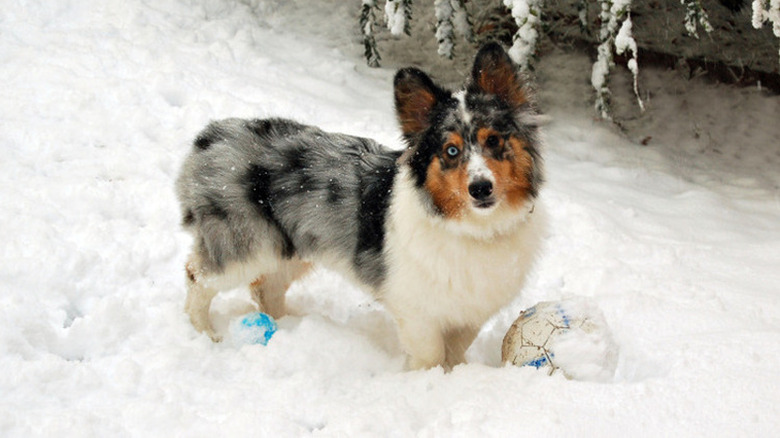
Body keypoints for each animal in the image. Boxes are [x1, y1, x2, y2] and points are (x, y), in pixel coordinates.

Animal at [175, 42, 544, 368]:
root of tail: (208, 138)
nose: (480, 189)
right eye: (451, 151)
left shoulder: (470, 311)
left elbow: (455, 350)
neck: (474, 229)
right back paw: (208, 334)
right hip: (246, 247)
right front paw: (426, 379)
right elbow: (430, 355)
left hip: (290, 249)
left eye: (493, 140)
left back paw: (287, 327)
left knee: (266, 289)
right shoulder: (416, 310)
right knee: (198, 276)